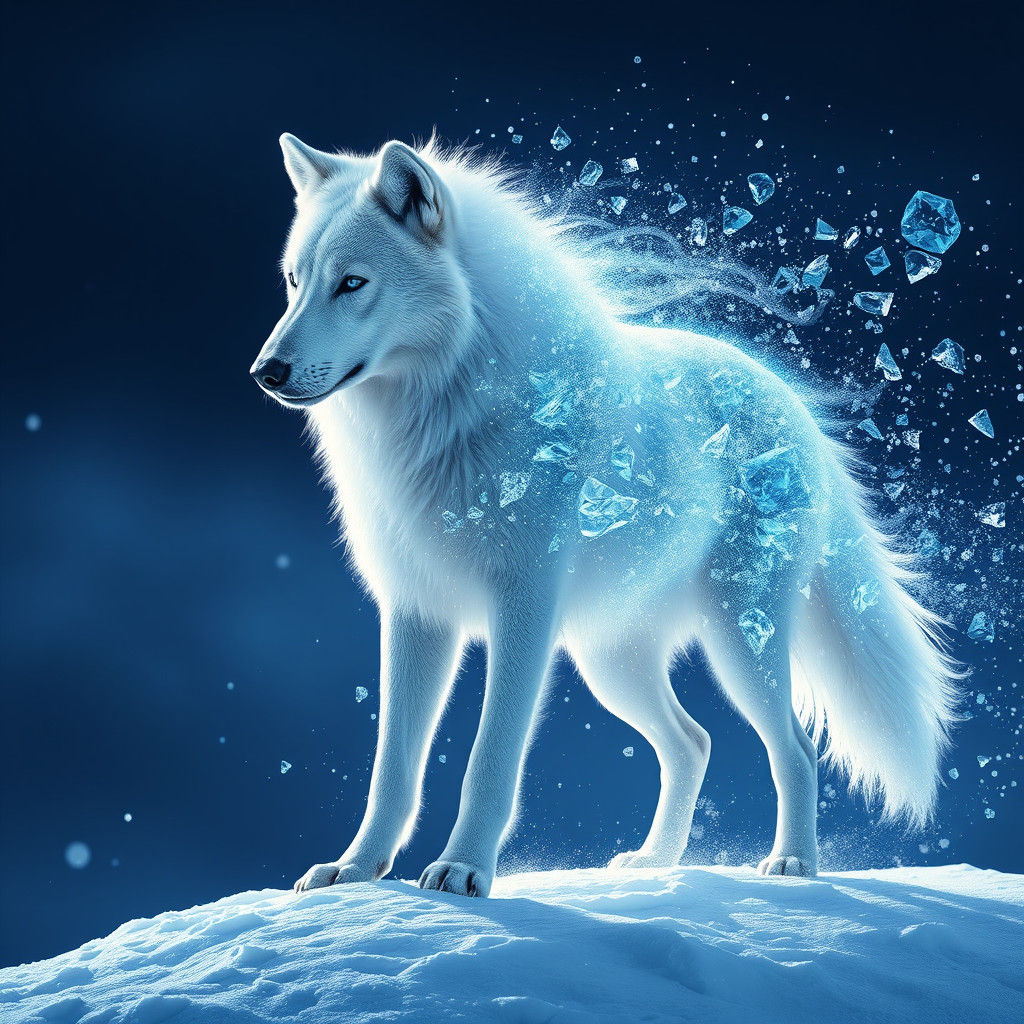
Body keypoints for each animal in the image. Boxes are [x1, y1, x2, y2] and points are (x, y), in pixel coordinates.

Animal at [251, 134, 957, 897]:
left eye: (352, 284)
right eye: (294, 282)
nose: (265, 371)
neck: (448, 413)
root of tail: (791, 403)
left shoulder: (523, 611)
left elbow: (488, 760)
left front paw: (463, 870)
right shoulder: (416, 611)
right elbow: (392, 770)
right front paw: (355, 872)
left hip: (739, 643)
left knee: (792, 747)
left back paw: (793, 864)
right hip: (610, 662)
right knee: (694, 742)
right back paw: (655, 864)